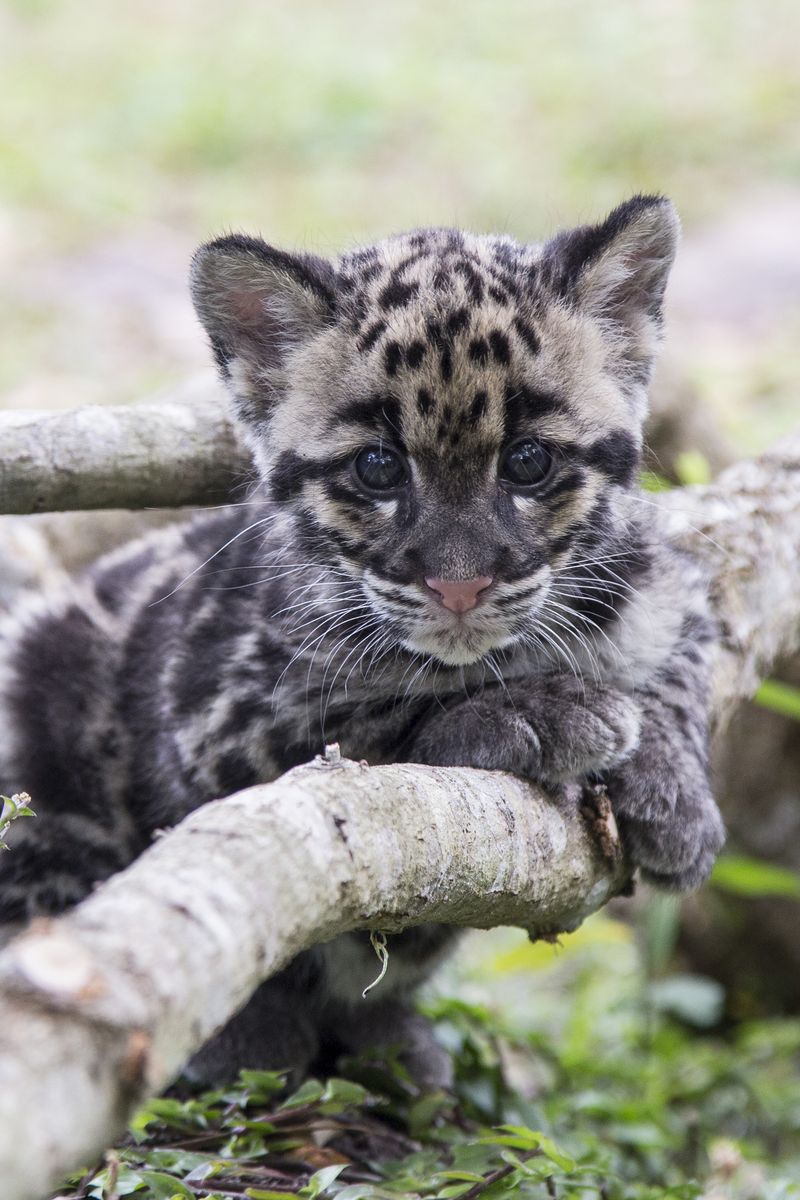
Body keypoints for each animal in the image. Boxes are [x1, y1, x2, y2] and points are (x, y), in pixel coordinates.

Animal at [0, 195, 725, 1089]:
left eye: (528, 461)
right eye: (377, 469)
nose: (459, 586)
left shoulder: (671, 583)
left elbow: (685, 657)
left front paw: (677, 791)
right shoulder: (216, 719)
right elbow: (377, 720)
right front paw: (540, 712)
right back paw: (247, 1036)